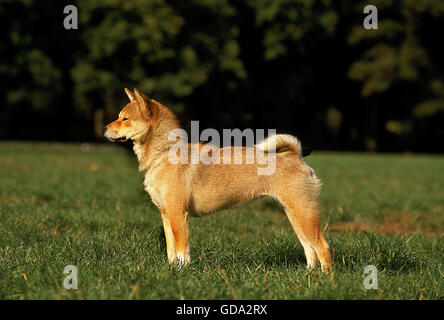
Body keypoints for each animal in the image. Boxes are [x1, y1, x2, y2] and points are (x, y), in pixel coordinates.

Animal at [104, 87, 332, 270]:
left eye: (125, 119)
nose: (103, 128)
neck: (164, 152)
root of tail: (295, 155)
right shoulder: (166, 215)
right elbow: (171, 250)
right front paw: (171, 270)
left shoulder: (178, 215)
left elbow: (182, 249)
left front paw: (182, 272)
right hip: (294, 215)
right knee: (309, 248)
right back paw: (309, 273)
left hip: (303, 213)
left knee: (322, 247)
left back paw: (325, 278)